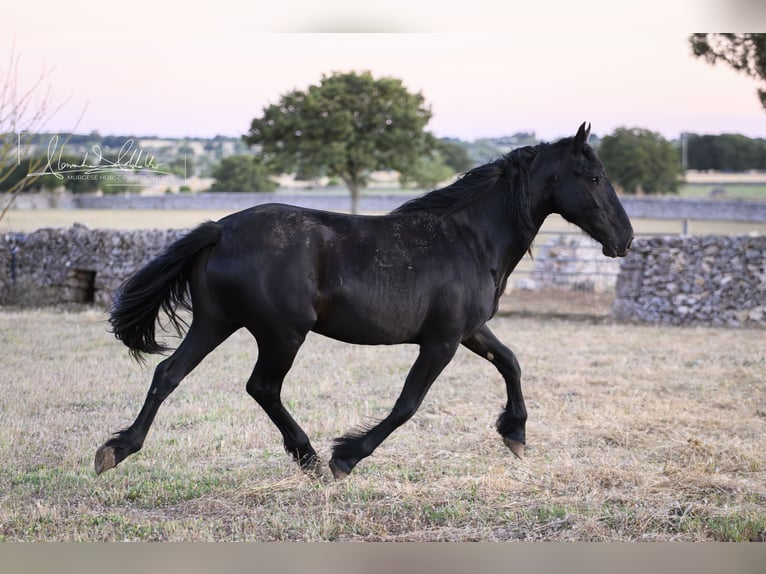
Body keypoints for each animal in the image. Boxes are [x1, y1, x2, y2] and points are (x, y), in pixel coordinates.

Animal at [95, 123, 634, 479]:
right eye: (593, 178)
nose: (625, 239)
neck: (469, 239)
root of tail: (220, 229)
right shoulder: (441, 342)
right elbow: (408, 404)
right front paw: (346, 457)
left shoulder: (470, 331)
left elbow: (511, 362)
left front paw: (516, 435)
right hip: (282, 333)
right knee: (261, 387)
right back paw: (311, 458)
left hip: (215, 322)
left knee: (169, 374)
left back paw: (116, 450)